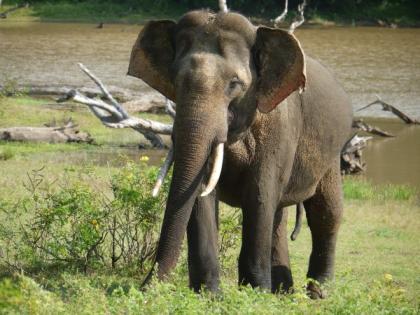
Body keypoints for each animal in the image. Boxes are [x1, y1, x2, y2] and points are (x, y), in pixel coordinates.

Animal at [128, 10, 354, 298]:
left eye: (234, 83)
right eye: (175, 80)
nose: (144, 288)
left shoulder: (279, 129)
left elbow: (260, 193)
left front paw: (254, 293)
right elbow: (201, 195)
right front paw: (210, 294)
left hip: (333, 152)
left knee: (325, 212)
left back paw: (316, 293)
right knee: (279, 217)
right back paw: (282, 291)